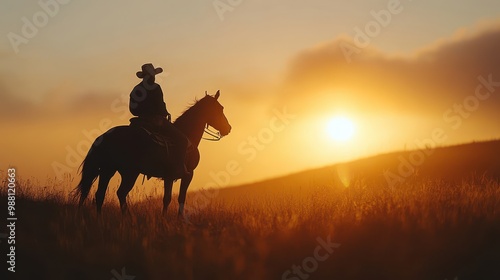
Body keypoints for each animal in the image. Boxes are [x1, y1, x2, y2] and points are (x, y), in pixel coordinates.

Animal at [73, 90, 232, 217]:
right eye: (220, 108)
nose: (228, 128)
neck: (188, 136)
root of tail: (104, 136)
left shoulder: (170, 176)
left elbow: (169, 198)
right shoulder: (185, 175)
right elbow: (176, 198)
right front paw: (175, 219)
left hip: (109, 170)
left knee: (101, 195)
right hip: (129, 172)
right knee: (119, 193)